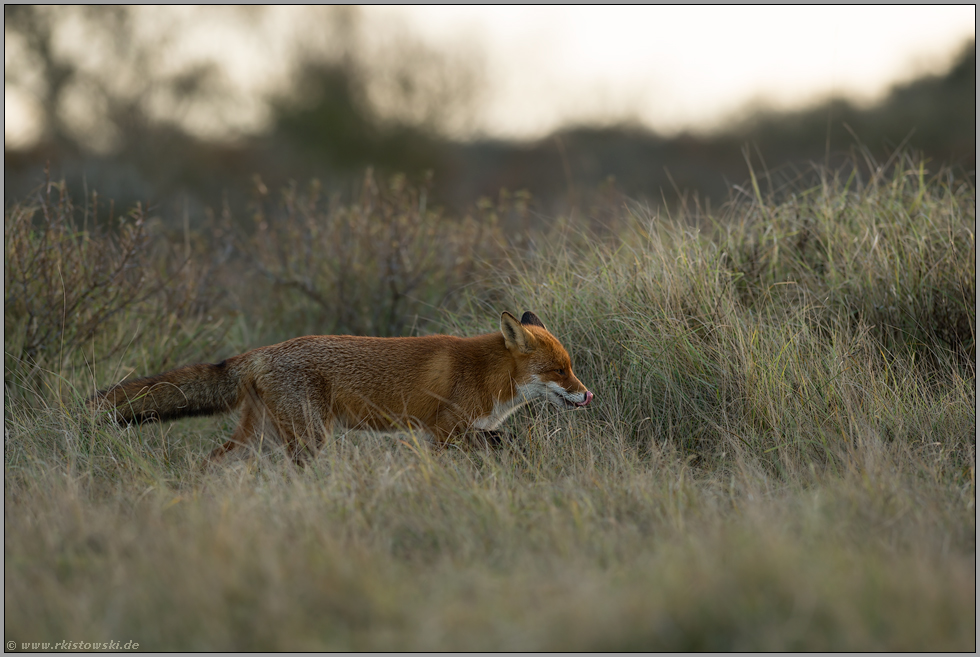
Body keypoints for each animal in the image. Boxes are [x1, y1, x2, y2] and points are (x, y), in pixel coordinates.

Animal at [92, 312, 592, 462]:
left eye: (570, 368)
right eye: (557, 370)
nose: (587, 394)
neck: (487, 373)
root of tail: (260, 352)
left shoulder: (450, 433)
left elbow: (499, 442)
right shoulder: (444, 428)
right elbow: (497, 444)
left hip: (260, 437)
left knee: (213, 462)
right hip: (309, 437)